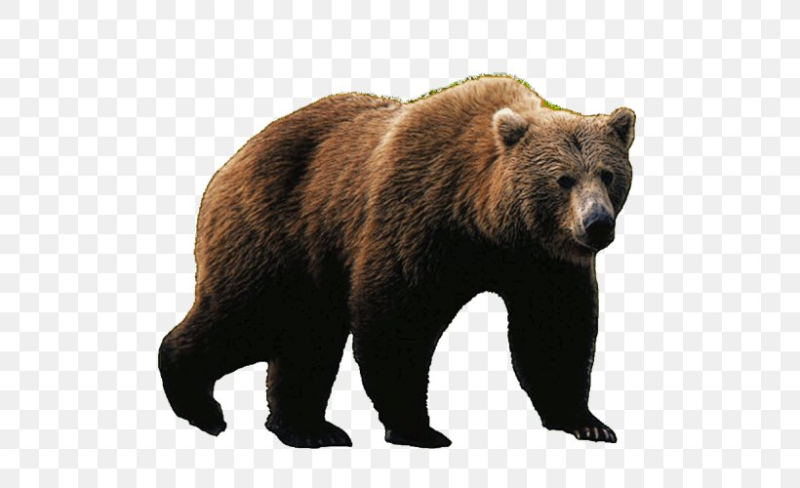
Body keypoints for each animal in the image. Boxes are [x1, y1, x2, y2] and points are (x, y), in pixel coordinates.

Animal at [158, 74, 635, 448]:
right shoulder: (419, 215)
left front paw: (588, 423)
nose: (597, 224)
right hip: (277, 229)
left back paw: (307, 428)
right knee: (247, 315)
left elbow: (554, 331)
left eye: (608, 174)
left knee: (306, 335)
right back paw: (201, 405)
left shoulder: (541, 261)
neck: (485, 222)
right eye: (562, 179)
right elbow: (397, 317)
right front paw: (419, 428)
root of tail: (232, 161)